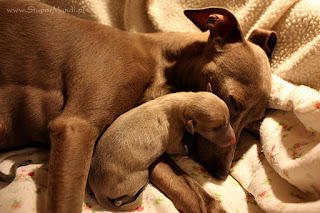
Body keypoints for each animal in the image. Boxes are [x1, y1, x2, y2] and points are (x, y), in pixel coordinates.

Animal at [87, 89, 235, 211]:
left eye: (228, 120)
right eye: (215, 129)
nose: (234, 140)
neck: (184, 101)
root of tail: (97, 189)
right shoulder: (174, 136)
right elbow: (178, 148)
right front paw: (190, 150)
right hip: (141, 175)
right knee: (119, 200)